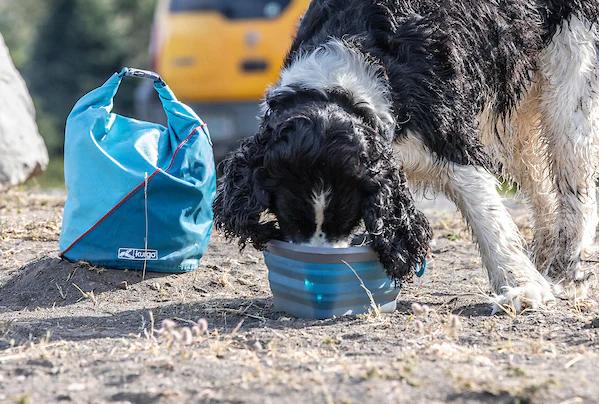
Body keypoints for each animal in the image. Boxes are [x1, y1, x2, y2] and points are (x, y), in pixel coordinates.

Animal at [214, 0, 599, 310]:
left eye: (345, 220)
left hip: (570, 72)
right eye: (292, 221)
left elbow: (488, 217)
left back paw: (566, 269)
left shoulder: (451, 140)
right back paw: (546, 257)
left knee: (575, 178)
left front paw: (521, 288)